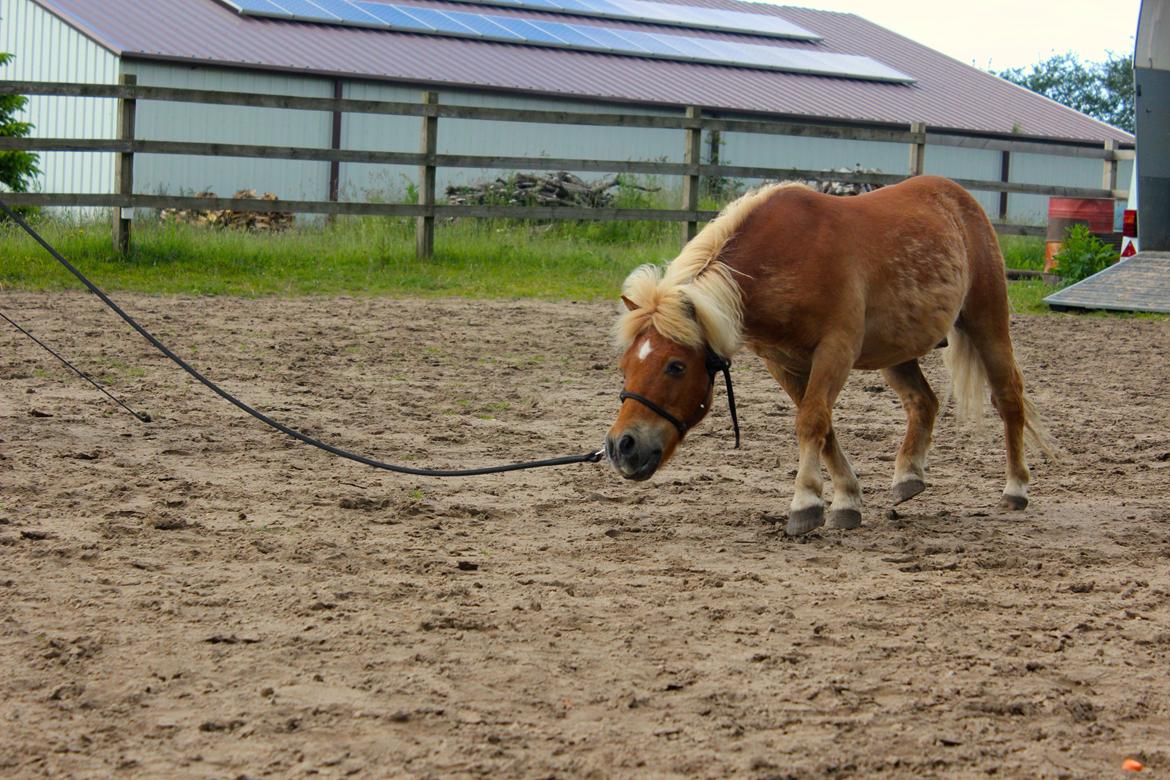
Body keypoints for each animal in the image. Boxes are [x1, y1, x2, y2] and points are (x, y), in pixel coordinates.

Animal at [608, 175, 1057, 537]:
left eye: (676, 366)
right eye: (625, 366)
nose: (622, 446)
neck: (783, 258)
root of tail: (959, 198)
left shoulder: (835, 351)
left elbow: (811, 423)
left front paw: (805, 504)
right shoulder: (783, 363)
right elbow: (825, 430)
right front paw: (846, 500)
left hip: (987, 324)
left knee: (1008, 399)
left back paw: (1016, 488)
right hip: (896, 352)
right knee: (923, 403)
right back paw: (908, 476)